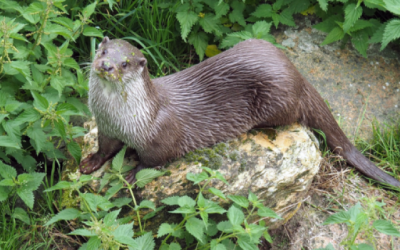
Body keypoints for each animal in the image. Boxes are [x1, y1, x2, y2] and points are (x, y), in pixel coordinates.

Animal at [79, 36, 400, 188]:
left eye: (125, 63)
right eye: (104, 52)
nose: (106, 65)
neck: (124, 118)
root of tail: (297, 73)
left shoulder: (160, 135)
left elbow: (154, 160)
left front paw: (133, 175)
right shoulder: (107, 128)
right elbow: (105, 149)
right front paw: (89, 163)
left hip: (278, 96)